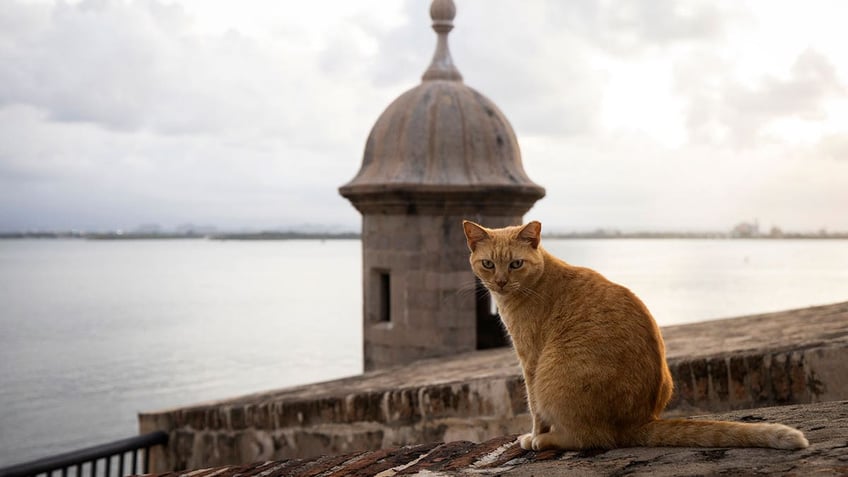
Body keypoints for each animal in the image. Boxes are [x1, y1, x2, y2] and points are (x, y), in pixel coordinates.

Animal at [464, 219, 808, 450]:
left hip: (553, 375)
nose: (500, 282)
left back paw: (544, 441)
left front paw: (534, 434)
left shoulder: (530, 361)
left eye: (516, 264)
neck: (536, 281)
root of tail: (638, 422)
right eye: (488, 264)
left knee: (589, 438)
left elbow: (535, 408)